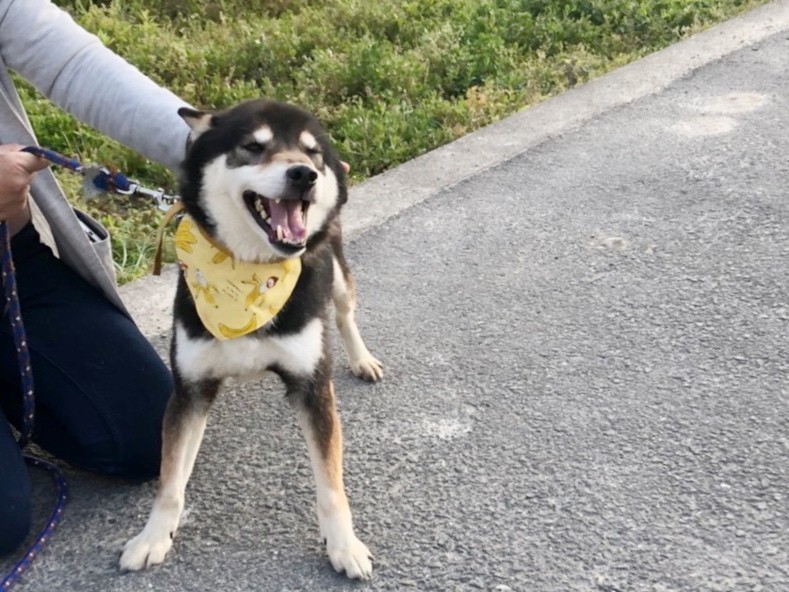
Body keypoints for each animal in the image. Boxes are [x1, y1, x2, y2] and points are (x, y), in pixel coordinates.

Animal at [119, 99, 382, 579]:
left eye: (312, 152)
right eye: (253, 147)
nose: (304, 175)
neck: (248, 275)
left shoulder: (313, 387)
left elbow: (331, 485)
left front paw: (343, 545)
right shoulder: (189, 391)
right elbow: (170, 480)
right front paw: (153, 537)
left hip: (336, 272)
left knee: (344, 313)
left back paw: (362, 359)